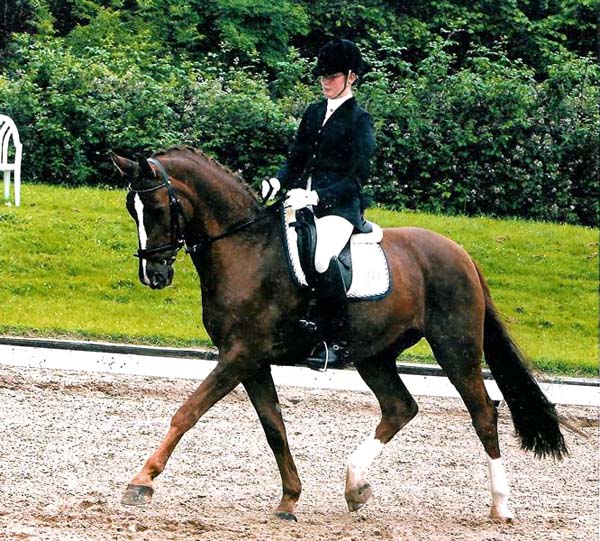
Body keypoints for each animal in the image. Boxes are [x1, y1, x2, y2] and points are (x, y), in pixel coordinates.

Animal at [110, 146, 567, 523]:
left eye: (156, 207)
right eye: (133, 210)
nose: (153, 275)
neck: (246, 249)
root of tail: (461, 254)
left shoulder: (240, 355)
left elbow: (188, 412)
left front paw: (141, 481)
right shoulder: (251, 361)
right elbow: (274, 428)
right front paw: (289, 499)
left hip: (456, 350)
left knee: (483, 414)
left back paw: (500, 506)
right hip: (375, 355)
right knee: (400, 407)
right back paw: (355, 486)